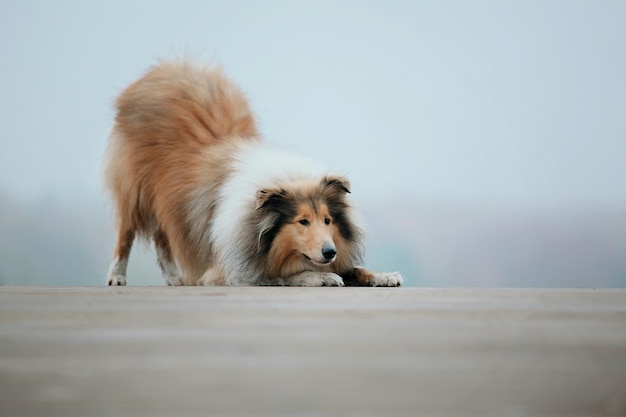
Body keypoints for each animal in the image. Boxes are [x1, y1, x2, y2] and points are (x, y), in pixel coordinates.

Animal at [102, 61, 402, 286]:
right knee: (125, 234)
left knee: (162, 237)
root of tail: (167, 70)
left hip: (168, 204)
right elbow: (281, 276)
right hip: (135, 190)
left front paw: (383, 275)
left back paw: (175, 278)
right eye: (303, 221)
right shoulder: (229, 269)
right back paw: (117, 277)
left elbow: (355, 269)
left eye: (328, 220)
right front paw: (321, 277)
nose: (330, 252)